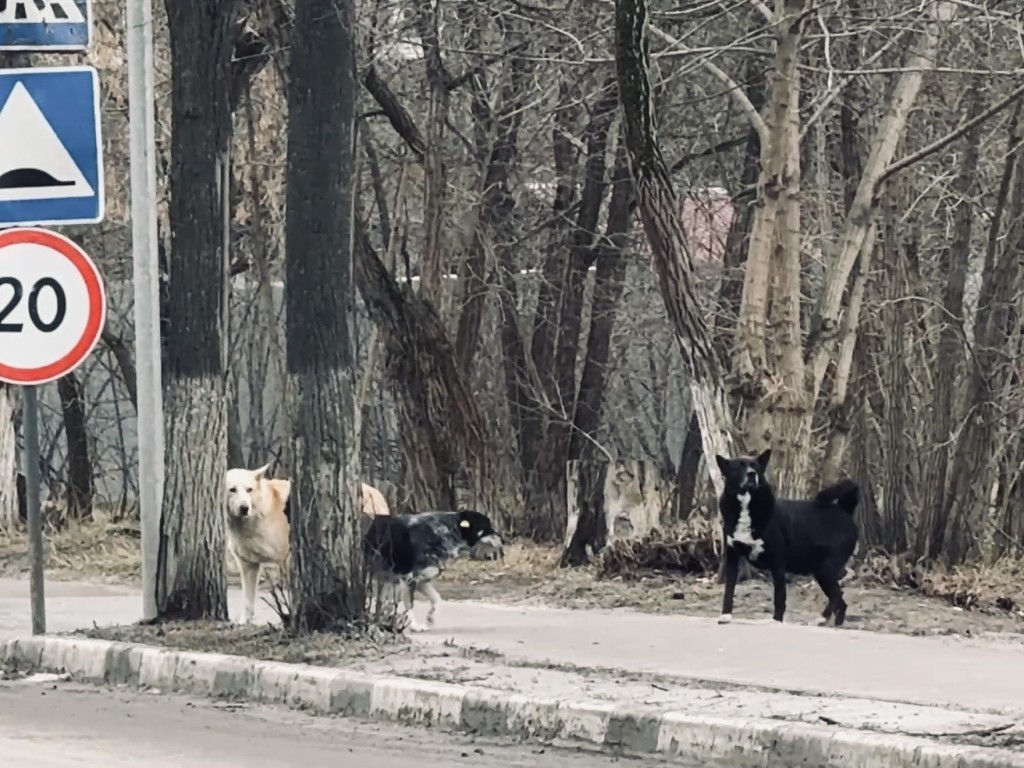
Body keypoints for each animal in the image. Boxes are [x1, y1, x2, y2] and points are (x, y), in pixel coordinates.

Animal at [364, 514, 503, 634]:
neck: (444, 533)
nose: (502, 539)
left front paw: (430, 618)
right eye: (487, 527)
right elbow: (409, 605)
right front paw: (415, 626)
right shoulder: (409, 579)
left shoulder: (422, 581)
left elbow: (437, 599)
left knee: (381, 600)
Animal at [716, 454, 860, 626]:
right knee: (840, 598)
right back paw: (832, 621)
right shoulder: (732, 558)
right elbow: (728, 590)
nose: (752, 474)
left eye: (755, 466)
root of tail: (845, 510)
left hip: (826, 569)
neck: (747, 506)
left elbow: (780, 594)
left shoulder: (777, 562)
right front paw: (725, 615)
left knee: (838, 596)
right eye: (739, 466)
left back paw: (828, 620)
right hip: (821, 571)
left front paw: (776, 620)